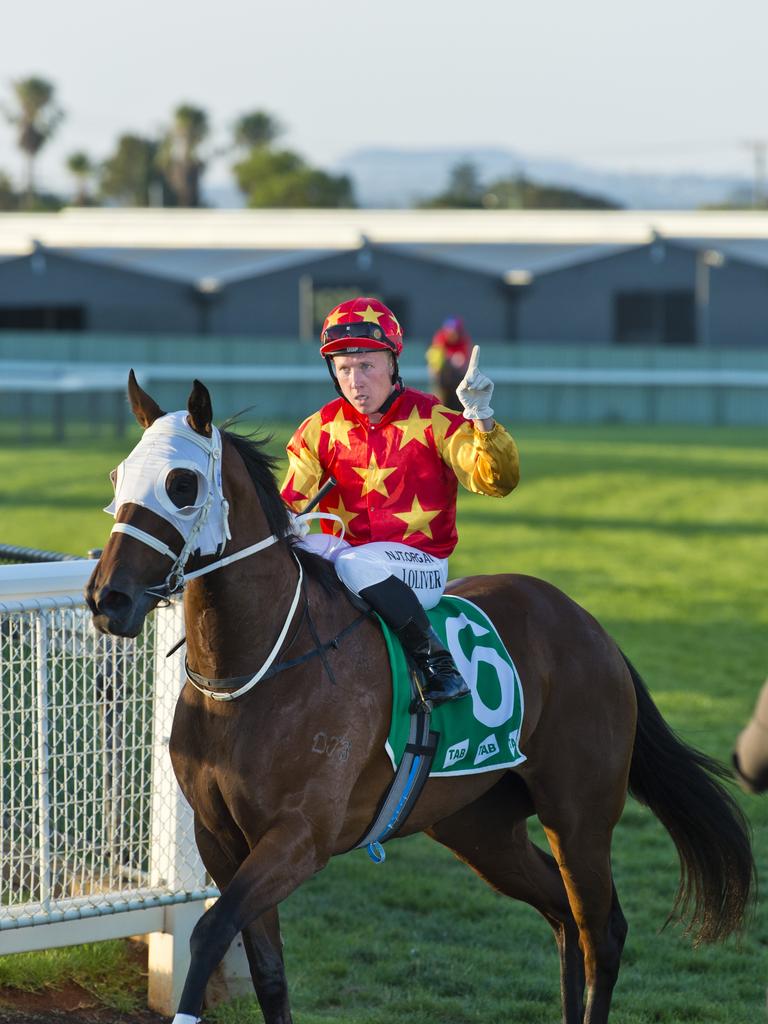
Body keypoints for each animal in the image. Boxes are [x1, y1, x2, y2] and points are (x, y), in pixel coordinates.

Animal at [87, 376, 753, 1024]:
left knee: (601, 932)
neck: (255, 672)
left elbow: (210, 934)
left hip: (580, 815)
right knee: (562, 916)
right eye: (118, 477)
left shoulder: (299, 839)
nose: (107, 599)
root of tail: (590, 625)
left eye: (181, 484)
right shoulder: (221, 839)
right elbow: (270, 975)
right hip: (478, 824)